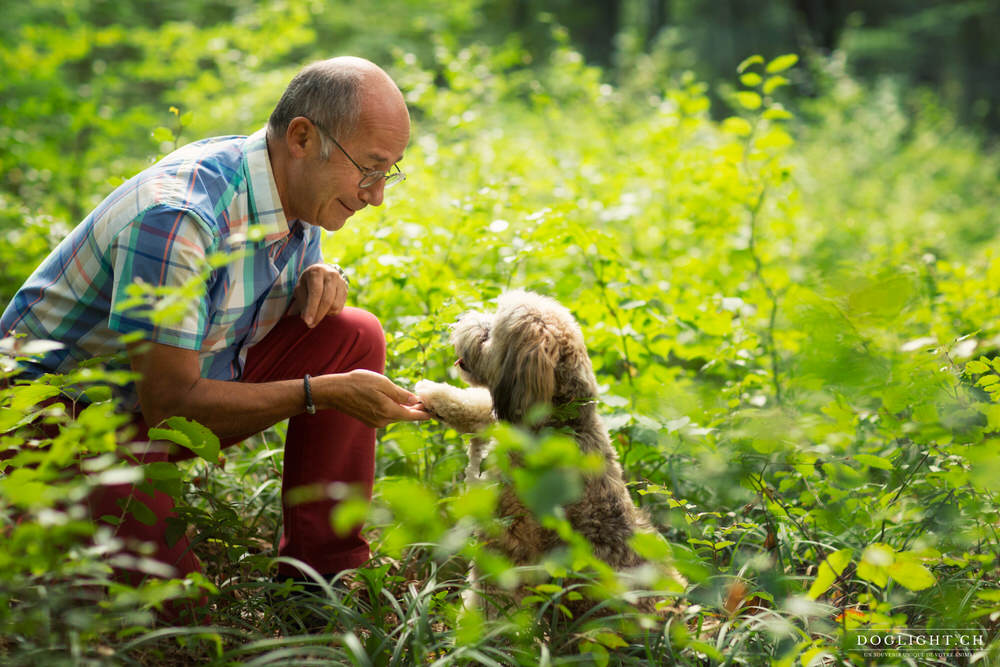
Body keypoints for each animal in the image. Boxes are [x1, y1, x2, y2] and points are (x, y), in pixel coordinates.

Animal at [410, 290, 684, 612]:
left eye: (490, 332)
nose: (459, 318)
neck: (558, 425)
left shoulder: (507, 541)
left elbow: (490, 600)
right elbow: (478, 406)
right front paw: (436, 393)